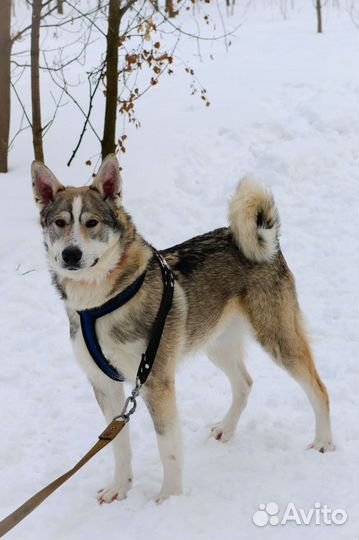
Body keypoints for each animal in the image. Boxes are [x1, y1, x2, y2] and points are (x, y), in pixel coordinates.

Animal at [31, 154, 334, 504]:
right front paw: (119, 488)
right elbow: (117, 444)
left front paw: (170, 498)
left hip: (277, 338)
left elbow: (168, 449)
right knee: (245, 383)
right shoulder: (104, 384)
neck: (100, 303)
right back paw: (227, 429)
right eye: (60, 223)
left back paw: (324, 443)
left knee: (318, 388)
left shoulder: (155, 382)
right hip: (216, 342)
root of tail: (263, 239)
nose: (71, 254)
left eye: (91, 223)